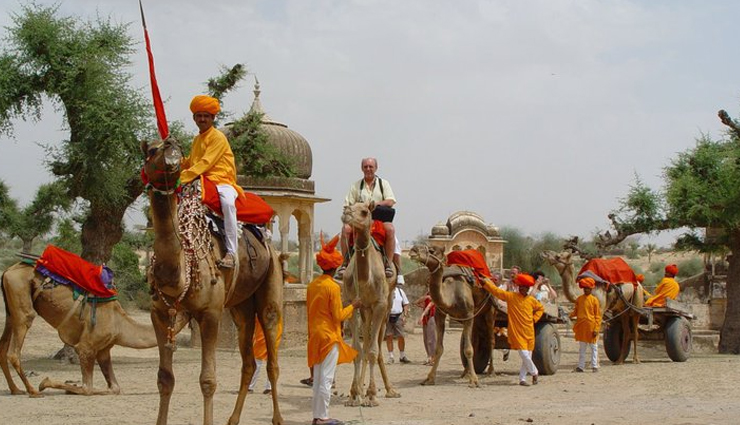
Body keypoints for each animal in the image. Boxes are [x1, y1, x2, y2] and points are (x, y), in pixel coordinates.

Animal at [0, 261, 185, 396]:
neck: (120, 324)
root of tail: (8, 271)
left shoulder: (104, 350)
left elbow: (115, 388)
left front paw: (68, 387)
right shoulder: (86, 347)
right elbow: (87, 388)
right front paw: (45, 383)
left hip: (10, 311)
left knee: (4, 345)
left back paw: (16, 389)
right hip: (21, 298)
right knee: (15, 348)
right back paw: (32, 390)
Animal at [142, 138, 285, 425]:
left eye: (175, 146)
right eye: (151, 150)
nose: (171, 146)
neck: (180, 270)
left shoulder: (210, 313)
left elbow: (208, 380)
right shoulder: (159, 313)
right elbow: (164, 379)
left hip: (271, 284)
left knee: (272, 360)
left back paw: (277, 419)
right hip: (241, 307)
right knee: (249, 362)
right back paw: (233, 419)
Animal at [340, 201, 401, 407]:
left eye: (365, 211)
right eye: (349, 206)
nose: (346, 213)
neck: (364, 279)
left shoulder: (380, 304)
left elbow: (374, 350)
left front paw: (372, 395)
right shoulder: (352, 303)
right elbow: (358, 350)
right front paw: (354, 394)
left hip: (387, 306)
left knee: (377, 346)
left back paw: (390, 390)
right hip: (366, 309)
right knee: (366, 343)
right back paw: (361, 389)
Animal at [408, 244, 495, 387]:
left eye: (432, 251)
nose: (413, 250)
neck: (451, 296)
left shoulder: (468, 314)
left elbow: (468, 349)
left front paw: (475, 380)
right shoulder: (440, 316)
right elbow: (439, 348)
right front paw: (429, 378)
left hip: (490, 311)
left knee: (491, 340)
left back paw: (491, 371)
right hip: (477, 316)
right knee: (474, 340)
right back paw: (465, 372)